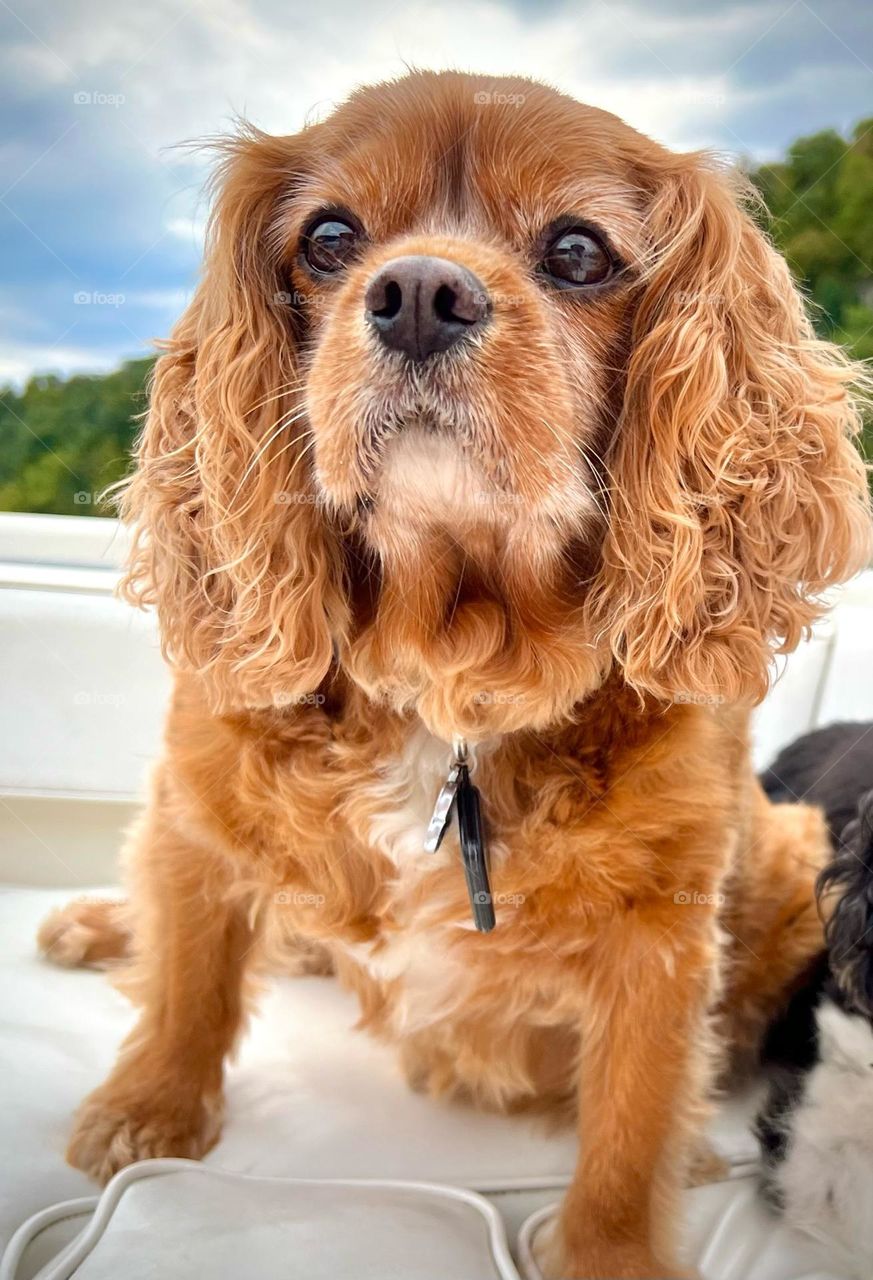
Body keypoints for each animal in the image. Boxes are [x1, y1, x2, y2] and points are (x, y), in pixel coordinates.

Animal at [42, 72, 870, 1280]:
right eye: (328, 238)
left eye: (576, 250)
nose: (421, 292)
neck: (451, 677)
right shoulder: (195, 800)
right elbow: (190, 969)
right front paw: (148, 1108)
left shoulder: (662, 931)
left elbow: (633, 1117)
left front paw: (611, 1252)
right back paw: (97, 924)